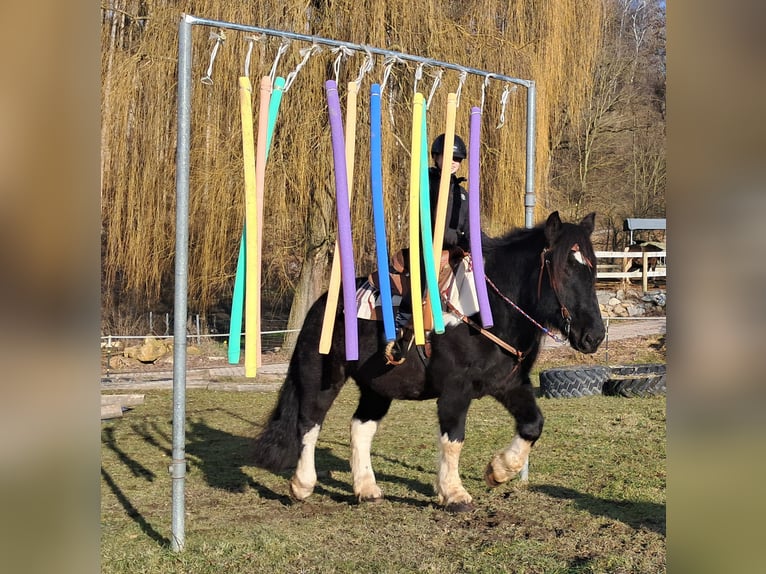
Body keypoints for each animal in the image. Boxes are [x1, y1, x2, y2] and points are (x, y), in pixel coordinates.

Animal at [255, 212, 608, 512]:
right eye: (564, 268)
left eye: (592, 268)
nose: (594, 335)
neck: (487, 310)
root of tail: (320, 305)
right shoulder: (455, 390)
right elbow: (453, 439)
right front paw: (454, 493)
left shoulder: (509, 384)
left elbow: (533, 424)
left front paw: (499, 471)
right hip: (323, 377)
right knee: (309, 423)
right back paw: (302, 485)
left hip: (376, 388)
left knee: (360, 428)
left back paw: (366, 489)